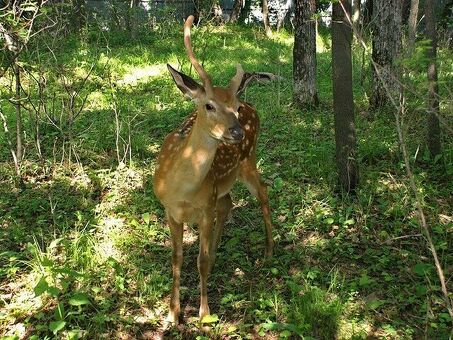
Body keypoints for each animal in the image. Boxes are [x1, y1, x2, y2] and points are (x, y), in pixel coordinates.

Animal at [152, 15, 274, 324]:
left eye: (235, 106)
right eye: (209, 105)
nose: (236, 132)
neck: (183, 191)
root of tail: (254, 106)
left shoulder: (205, 207)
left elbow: (201, 260)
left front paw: (204, 315)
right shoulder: (170, 211)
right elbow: (177, 259)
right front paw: (172, 313)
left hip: (248, 161)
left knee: (263, 193)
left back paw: (268, 250)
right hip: (224, 184)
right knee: (228, 203)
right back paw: (220, 251)